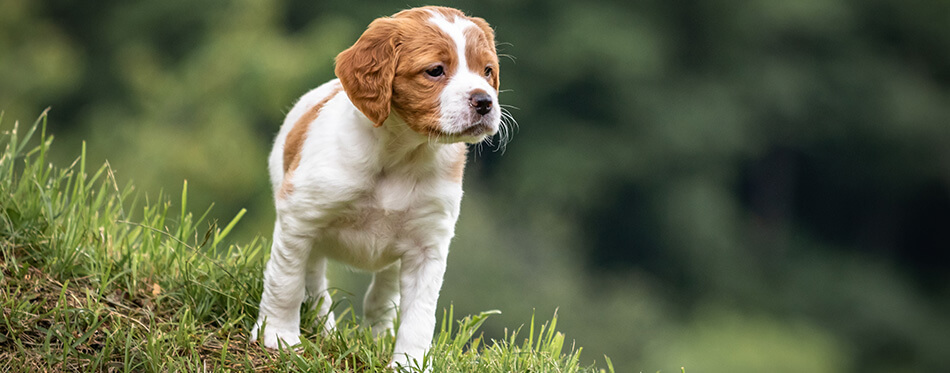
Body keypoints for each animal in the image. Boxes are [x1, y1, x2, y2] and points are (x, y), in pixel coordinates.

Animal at [251, 6, 506, 370]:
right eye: (435, 70)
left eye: (487, 71)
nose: (485, 101)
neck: (400, 153)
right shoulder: (300, 217)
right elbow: (286, 282)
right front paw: (278, 336)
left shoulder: (428, 246)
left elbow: (419, 316)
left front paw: (410, 364)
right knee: (312, 282)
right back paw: (322, 326)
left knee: (381, 295)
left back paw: (377, 334)